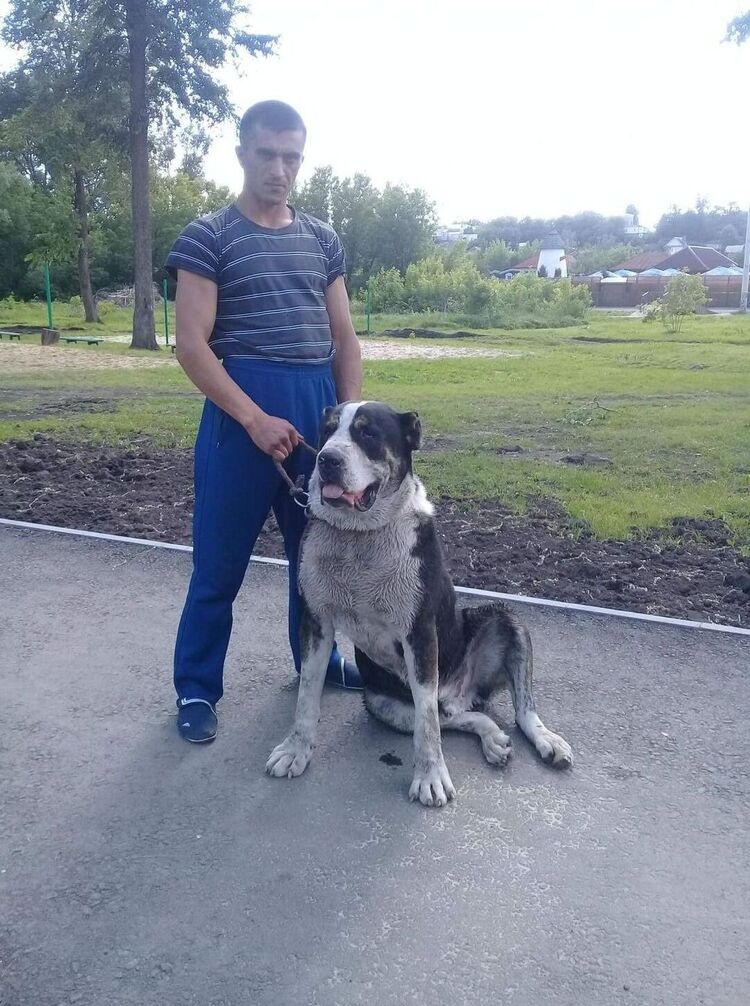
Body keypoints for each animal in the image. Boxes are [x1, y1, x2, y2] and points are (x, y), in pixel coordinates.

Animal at [266, 401, 572, 807]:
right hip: (382, 704)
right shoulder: (315, 622)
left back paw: (547, 740)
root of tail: (459, 696)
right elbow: (306, 697)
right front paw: (295, 750)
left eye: (368, 433)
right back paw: (493, 738)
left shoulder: (420, 633)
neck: (358, 536)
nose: (327, 459)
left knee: (516, 709)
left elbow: (427, 726)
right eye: (327, 431)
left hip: (505, 620)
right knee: (453, 719)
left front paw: (430, 777)